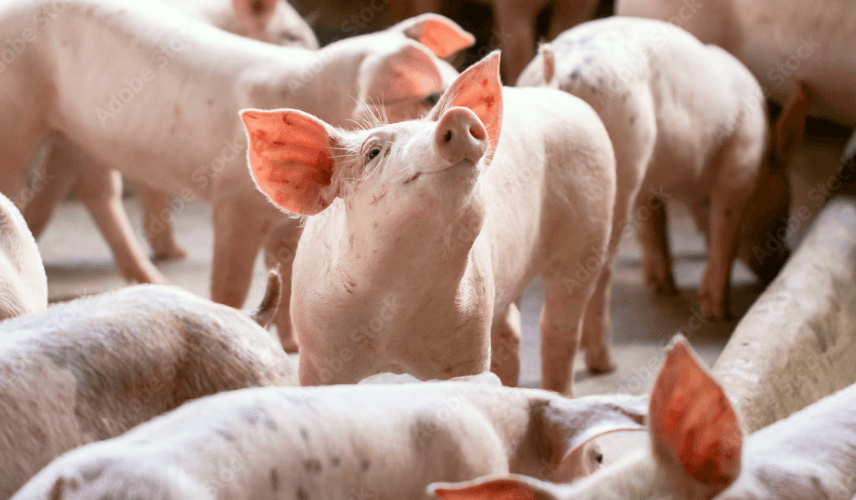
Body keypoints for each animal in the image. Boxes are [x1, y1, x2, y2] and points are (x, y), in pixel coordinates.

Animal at [242, 52, 617, 394]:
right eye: (373, 153)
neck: (394, 306)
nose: (458, 116)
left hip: (590, 228)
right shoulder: (317, 354)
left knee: (559, 327)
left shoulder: (471, 335)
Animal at [517, 18, 793, 336]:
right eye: (782, 217)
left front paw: (662, 287)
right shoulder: (741, 163)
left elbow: (654, 226)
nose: (785, 257)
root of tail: (555, 74)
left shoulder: (649, 183)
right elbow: (726, 231)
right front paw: (718, 313)